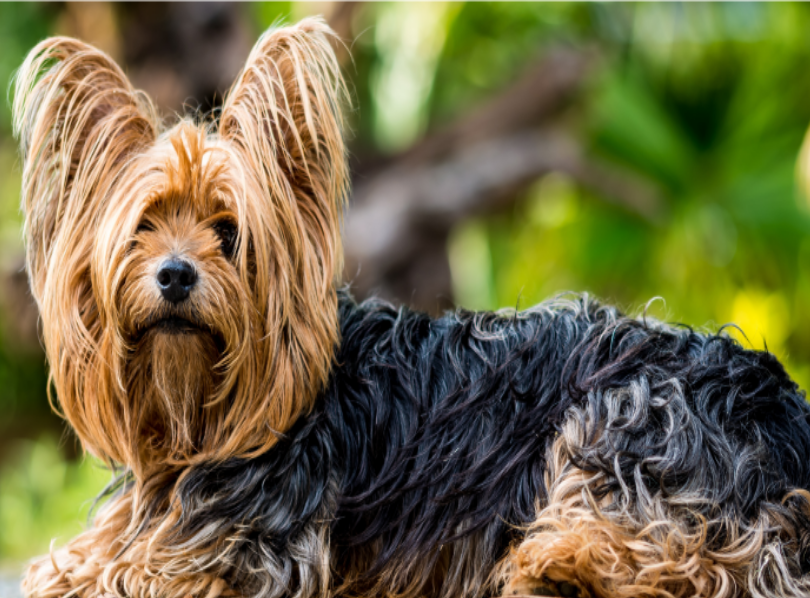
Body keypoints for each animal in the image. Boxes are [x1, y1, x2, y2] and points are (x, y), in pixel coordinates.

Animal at [12, 17, 810, 598]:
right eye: (142, 227)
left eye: (230, 233)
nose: (175, 275)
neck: (196, 418)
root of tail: (786, 413)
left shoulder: (245, 550)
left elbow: (118, 569)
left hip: (632, 414)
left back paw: (556, 567)